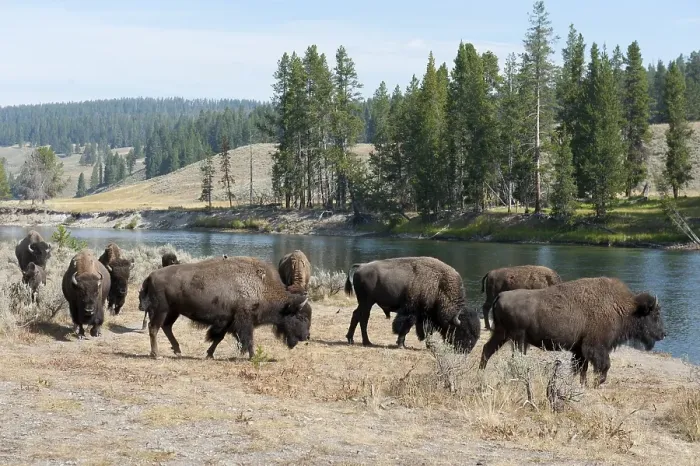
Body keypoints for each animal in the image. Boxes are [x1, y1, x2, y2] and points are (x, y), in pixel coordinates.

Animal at [138, 255, 312, 360]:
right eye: (301, 316)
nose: (306, 336)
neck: (262, 287)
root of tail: (151, 276)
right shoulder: (244, 320)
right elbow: (248, 338)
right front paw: (252, 356)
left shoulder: (229, 321)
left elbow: (218, 338)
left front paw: (210, 354)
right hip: (161, 310)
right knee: (154, 327)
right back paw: (156, 354)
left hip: (173, 312)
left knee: (166, 327)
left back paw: (178, 351)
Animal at [343, 256, 480, 353]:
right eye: (462, 330)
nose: (466, 350)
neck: (439, 286)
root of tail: (361, 266)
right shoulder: (411, 313)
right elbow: (405, 328)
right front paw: (401, 345)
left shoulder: (425, 317)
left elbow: (426, 331)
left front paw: (428, 346)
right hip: (367, 302)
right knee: (363, 318)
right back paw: (366, 342)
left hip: (365, 303)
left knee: (356, 315)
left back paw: (352, 339)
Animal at [479, 277, 666, 386]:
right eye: (655, 314)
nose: (663, 334)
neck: (623, 307)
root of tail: (501, 296)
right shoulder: (595, 347)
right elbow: (603, 367)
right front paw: (595, 384)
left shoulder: (580, 351)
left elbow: (581, 370)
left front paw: (581, 385)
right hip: (517, 339)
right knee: (512, 357)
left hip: (502, 335)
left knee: (487, 349)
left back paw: (481, 373)